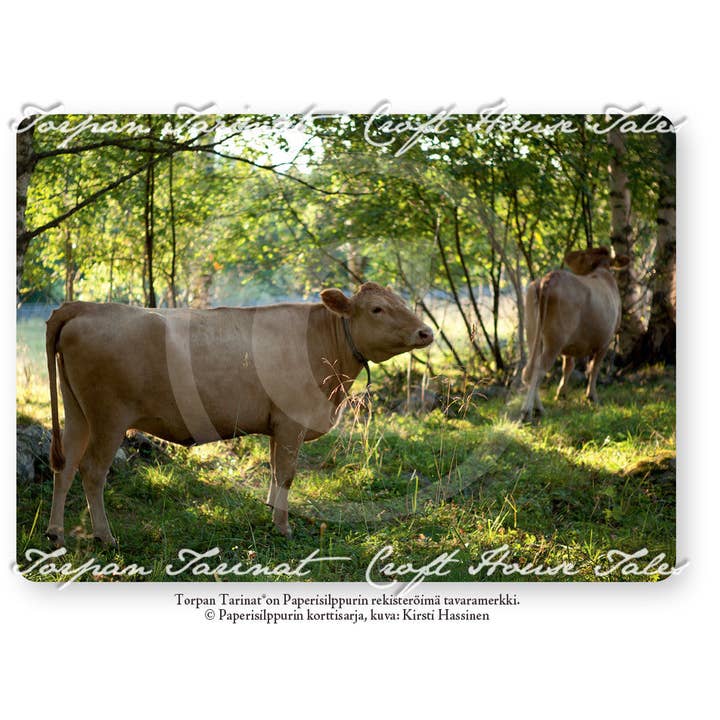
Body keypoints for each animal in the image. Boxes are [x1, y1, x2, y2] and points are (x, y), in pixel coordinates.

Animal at [45, 282, 434, 546]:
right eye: (377, 309)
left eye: (401, 303)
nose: (426, 331)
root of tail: (83, 307)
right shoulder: (292, 422)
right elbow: (287, 474)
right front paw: (283, 526)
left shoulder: (278, 425)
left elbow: (275, 472)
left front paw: (271, 511)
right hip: (108, 418)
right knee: (92, 472)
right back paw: (105, 537)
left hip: (77, 414)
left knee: (65, 467)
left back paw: (56, 533)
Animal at [520, 247, 629, 422]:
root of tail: (549, 278)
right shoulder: (605, 341)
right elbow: (594, 368)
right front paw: (592, 396)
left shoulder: (570, 345)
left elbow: (568, 366)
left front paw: (561, 393)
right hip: (555, 340)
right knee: (539, 368)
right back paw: (528, 411)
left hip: (533, 333)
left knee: (531, 368)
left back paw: (538, 407)